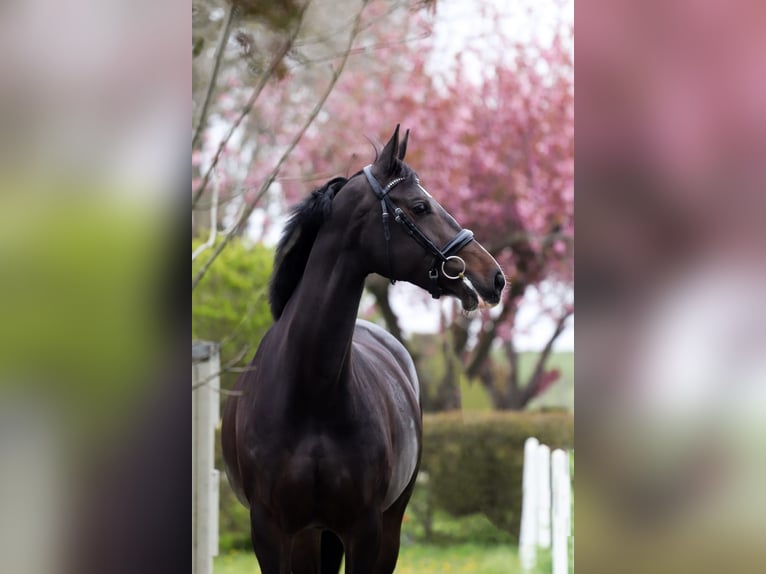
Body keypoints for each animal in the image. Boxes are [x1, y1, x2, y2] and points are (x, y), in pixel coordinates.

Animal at [222, 127, 508, 574]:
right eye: (420, 206)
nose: (494, 277)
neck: (311, 396)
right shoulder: (270, 531)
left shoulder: (365, 528)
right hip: (311, 536)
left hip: (384, 526)